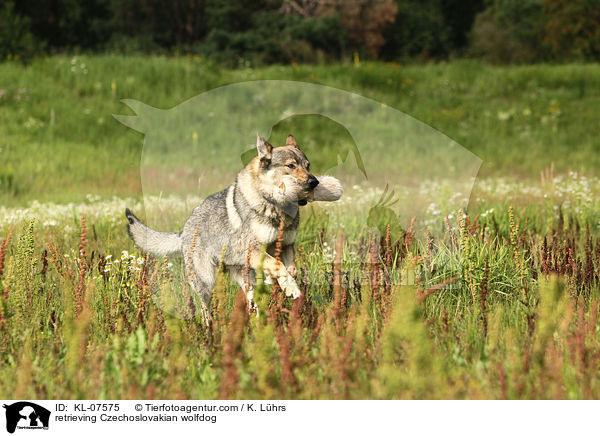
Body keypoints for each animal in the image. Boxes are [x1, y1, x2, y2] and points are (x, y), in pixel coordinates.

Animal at [125, 134, 342, 316]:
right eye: (291, 166)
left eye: (308, 165)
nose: (314, 182)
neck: (276, 209)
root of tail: (184, 230)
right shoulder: (255, 250)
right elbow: (278, 265)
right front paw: (291, 287)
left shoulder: (287, 246)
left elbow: (290, 269)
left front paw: (283, 285)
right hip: (206, 283)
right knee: (204, 310)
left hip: (245, 277)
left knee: (251, 302)